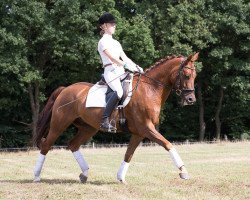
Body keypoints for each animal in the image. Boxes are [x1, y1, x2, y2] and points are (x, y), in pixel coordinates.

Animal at [32, 52, 199, 184]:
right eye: (186, 75)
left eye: (195, 76)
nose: (191, 99)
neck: (150, 89)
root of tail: (65, 89)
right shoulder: (147, 128)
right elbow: (168, 144)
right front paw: (183, 171)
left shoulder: (139, 133)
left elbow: (128, 154)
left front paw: (120, 177)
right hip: (59, 124)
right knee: (46, 145)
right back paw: (36, 176)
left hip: (88, 128)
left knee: (73, 145)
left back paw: (84, 174)